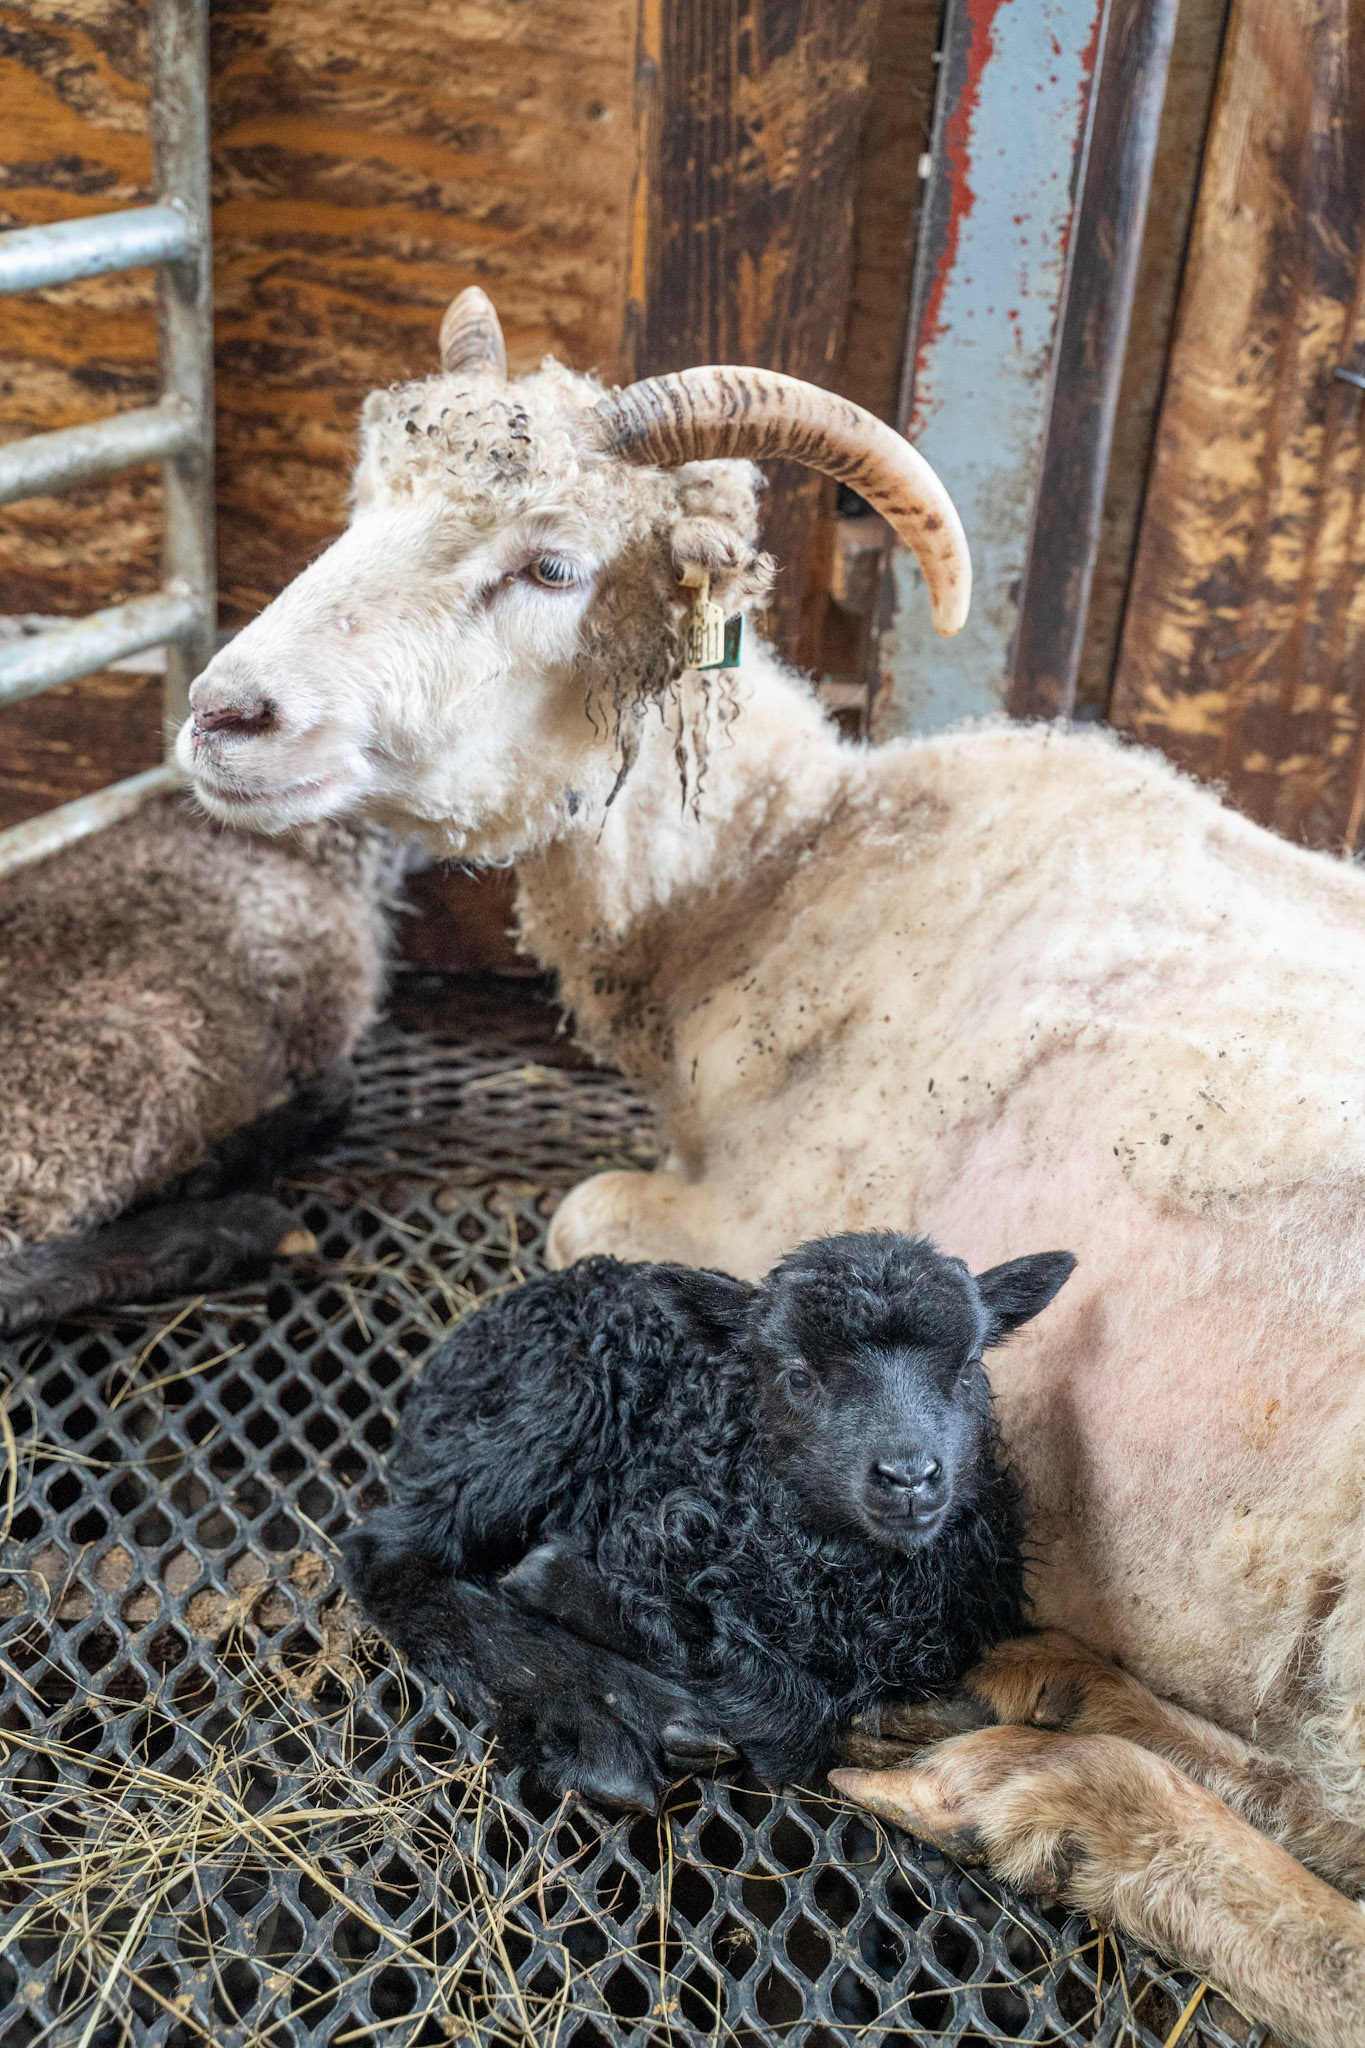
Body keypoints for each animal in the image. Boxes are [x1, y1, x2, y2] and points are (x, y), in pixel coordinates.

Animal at [344, 1232, 1074, 1807]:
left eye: (967, 1367)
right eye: (797, 1377)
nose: (908, 1477)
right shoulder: (652, 1532)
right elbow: (789, 1713)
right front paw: (554, 1584)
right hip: (545, 1415)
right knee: (391, 1554)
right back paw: (599, 1734)